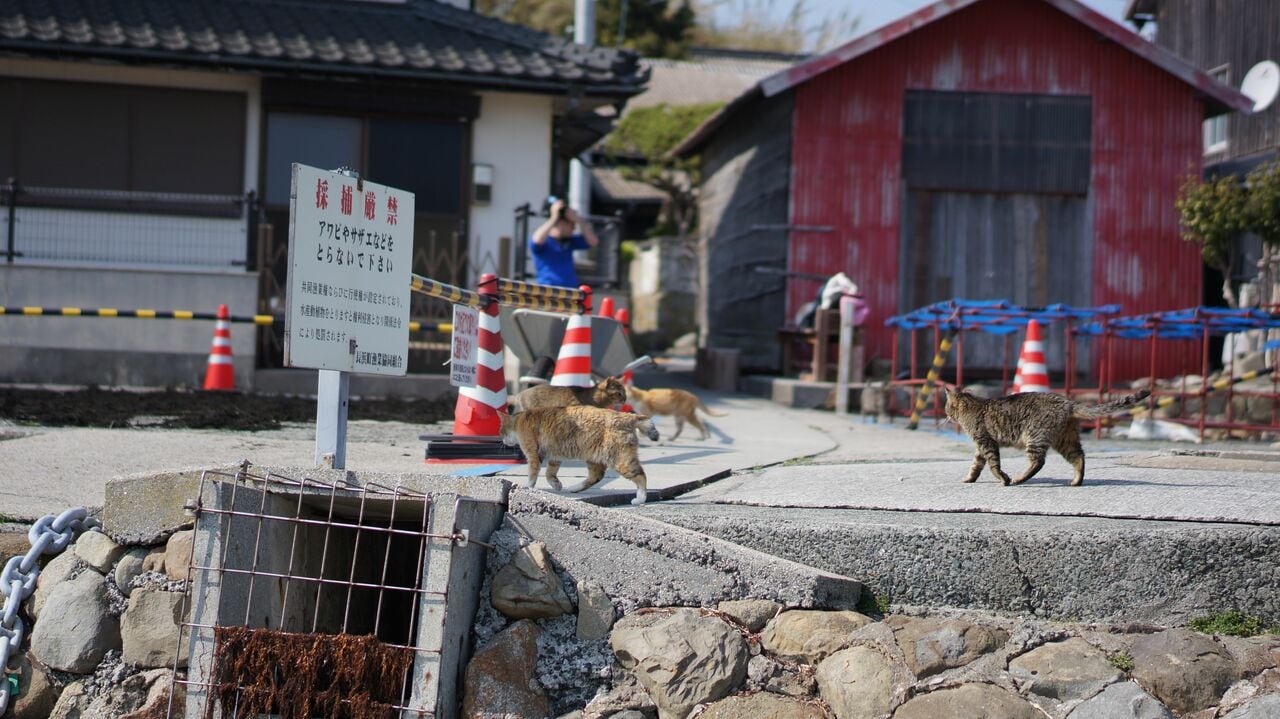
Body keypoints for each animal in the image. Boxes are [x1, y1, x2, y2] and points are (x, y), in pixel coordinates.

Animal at [499, 406, 660, 501]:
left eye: (501, 431)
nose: (503, 440)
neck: (520, 420)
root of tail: (626, 416)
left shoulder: (532, 453)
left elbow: (533, 474)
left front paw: (528, 487)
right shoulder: (554, 456)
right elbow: (550, 473)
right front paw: (556, 485)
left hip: (620, 460)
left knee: (641, 476)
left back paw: (640, 498)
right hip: (594, 458)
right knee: (596, 477)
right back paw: (574, 488)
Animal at [942, 386, 1152, 486]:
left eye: (946, 407)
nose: (946, 416)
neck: (971, 406)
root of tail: (1067, 402)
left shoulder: (986, 442)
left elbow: (994, 465)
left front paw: (1003, 479)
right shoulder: (981, 446)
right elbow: (976, 465)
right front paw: (969, 478)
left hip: (1035, 437)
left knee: (1038, 462)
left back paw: (1019, 479)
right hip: (1065, 439)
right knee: (1079, 456)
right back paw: (1076, 481)